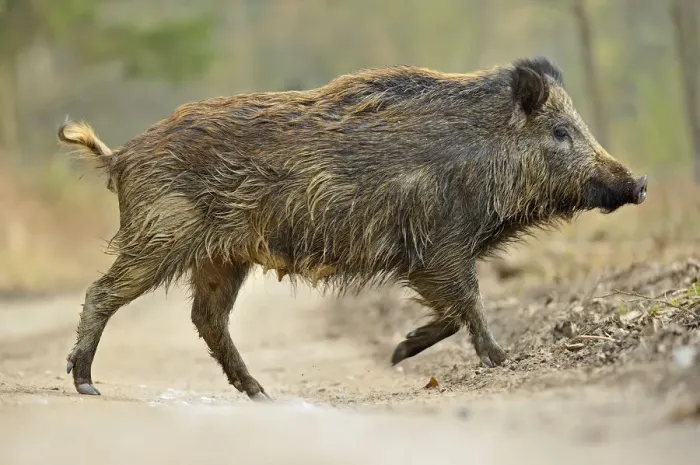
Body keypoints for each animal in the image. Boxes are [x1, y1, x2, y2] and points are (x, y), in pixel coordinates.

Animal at [57, 56, 648, 401]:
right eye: (561, 131)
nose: (639, 182)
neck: (481, 160)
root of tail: (120, 158)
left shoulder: (430, 255)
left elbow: (455, 311)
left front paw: (398, 353)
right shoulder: (441, 244)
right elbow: (469, 305)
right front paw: (502, 360)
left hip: (221, 256)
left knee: (207, 318)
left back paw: (261, 393)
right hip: (162, 235)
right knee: (102, 292)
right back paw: (85, 384)